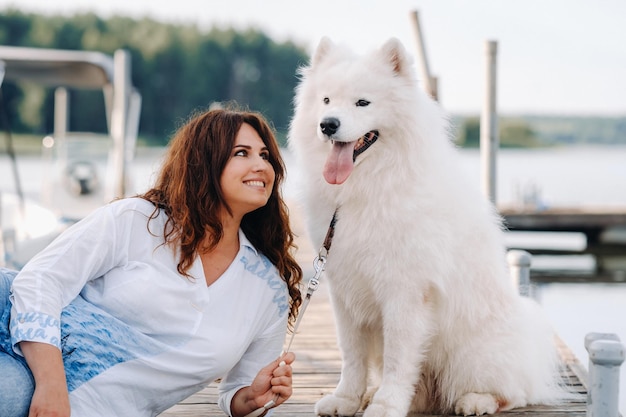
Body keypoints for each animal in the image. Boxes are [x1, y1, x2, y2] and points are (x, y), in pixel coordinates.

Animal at [286, 36, 568, 416]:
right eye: (326, 100)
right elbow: (351, 354)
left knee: (512, 392)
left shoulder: (405, 291)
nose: (328, 124)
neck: (368, 187)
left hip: (475, 351)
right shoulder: (343, 288)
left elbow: (398, 358)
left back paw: (476, 400)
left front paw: (386, 406)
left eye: (363, 102)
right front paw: (346, 399)